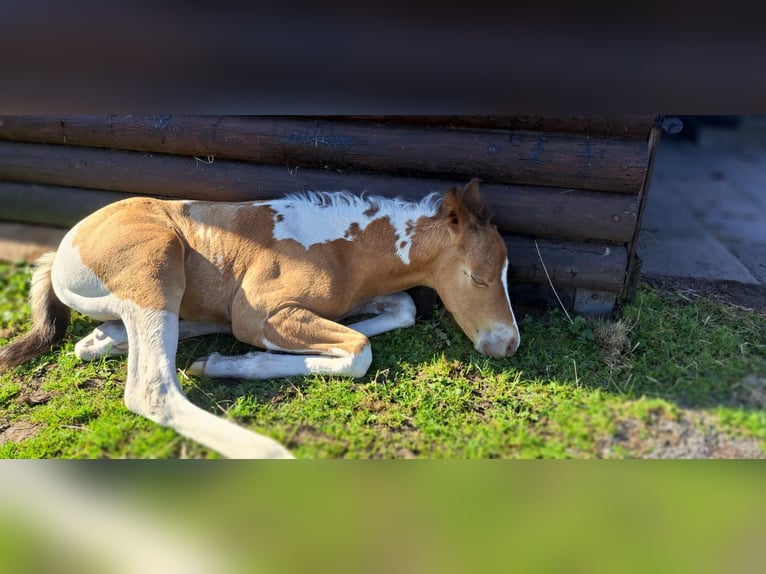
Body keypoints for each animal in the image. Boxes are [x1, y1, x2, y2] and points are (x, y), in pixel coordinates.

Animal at [0, 180, 520, 460]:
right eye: (477, 277)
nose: (508, 343)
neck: (344, 251)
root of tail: (62, 249)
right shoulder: (260, 312)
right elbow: (358, 351)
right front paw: (231, 363)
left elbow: (401, 311)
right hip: (155, 260)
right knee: (153, 390)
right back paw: (261, 449)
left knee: (108, 342)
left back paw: (108, 339)